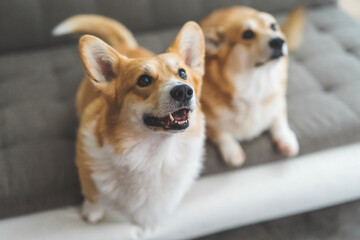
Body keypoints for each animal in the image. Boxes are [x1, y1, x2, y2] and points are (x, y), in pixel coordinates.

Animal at [52, 15, 205, 227]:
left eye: (182, 73)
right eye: (144, 80)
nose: (183, 91)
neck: (155, 154)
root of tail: (125, 45)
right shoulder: (84, 157)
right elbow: (91, 191)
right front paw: (92, 213)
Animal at [200, 7, 304, 165]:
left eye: (273, 27)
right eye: (248, 34)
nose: (279, 41)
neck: (256, 83)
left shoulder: (279, 102)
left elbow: (279, 120)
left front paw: (286, 139)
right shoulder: (206, 123)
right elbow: (222, 133)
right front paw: (232, 151)